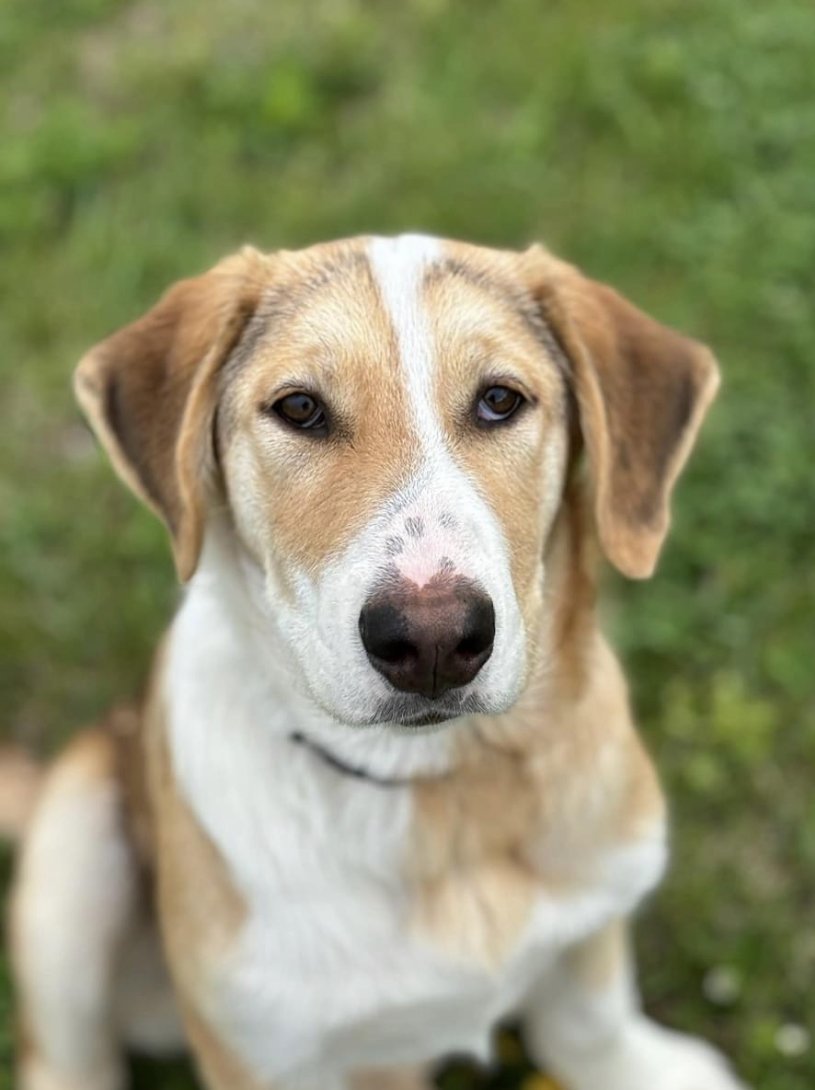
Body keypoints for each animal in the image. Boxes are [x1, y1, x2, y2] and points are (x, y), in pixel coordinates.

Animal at [7, 232, 745, 1090]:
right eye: (299, 408)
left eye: (500, 401)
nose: (432, 641)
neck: (431, 788)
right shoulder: (257, 1049)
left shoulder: (601, 892)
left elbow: (587, 1016)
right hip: (74, 848)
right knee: (63, 1055)